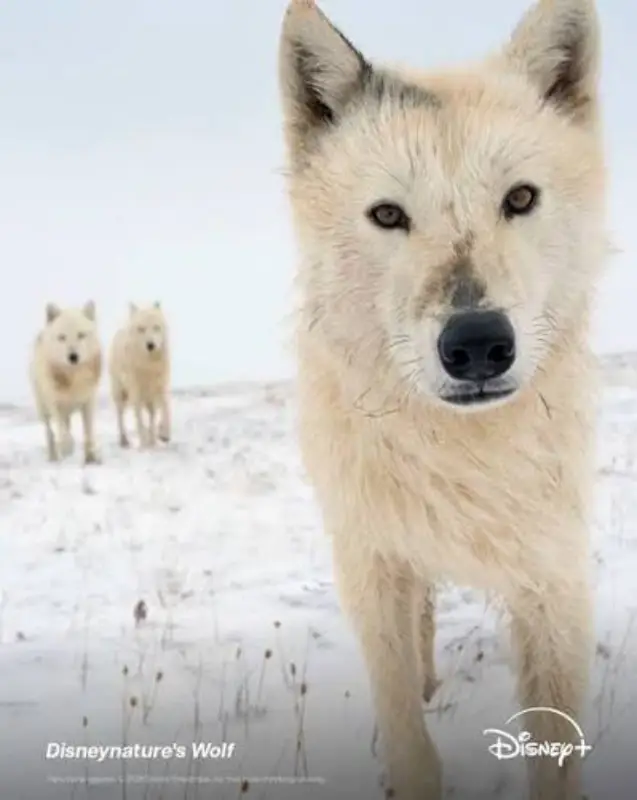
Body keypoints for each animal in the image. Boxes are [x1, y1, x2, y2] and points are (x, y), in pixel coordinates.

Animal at [30, 301, 102, 464]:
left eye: (81, 335)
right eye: (62, 337)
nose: (73, 356)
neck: (73, 377)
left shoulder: (89, 402)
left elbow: (88, 432)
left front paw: (91, 458)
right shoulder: (56, 405)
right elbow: (62, 432)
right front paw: (67, 449)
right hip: (43, 409)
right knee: (50, 432)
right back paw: (54, 456)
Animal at [109, 302, 171, 449]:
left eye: (156, 327)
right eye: (141, 329)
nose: (150, 345)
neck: (148, 367)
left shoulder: (160, 387)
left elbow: (165, 409)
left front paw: (163, 435)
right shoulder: (136, 392)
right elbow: (139, 419)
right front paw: (144, 444)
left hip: (148, 398)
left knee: (152, 413)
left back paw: (152, 438)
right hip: (120, 393)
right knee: (120, 416)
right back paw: (124, 440)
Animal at [278, 0, 607, 797]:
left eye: (519, 199)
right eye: (388, 215)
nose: (478, 344)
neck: (464, 449)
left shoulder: (554, 576)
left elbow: (554, 749)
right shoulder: (371, 563)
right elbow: (406, 730)